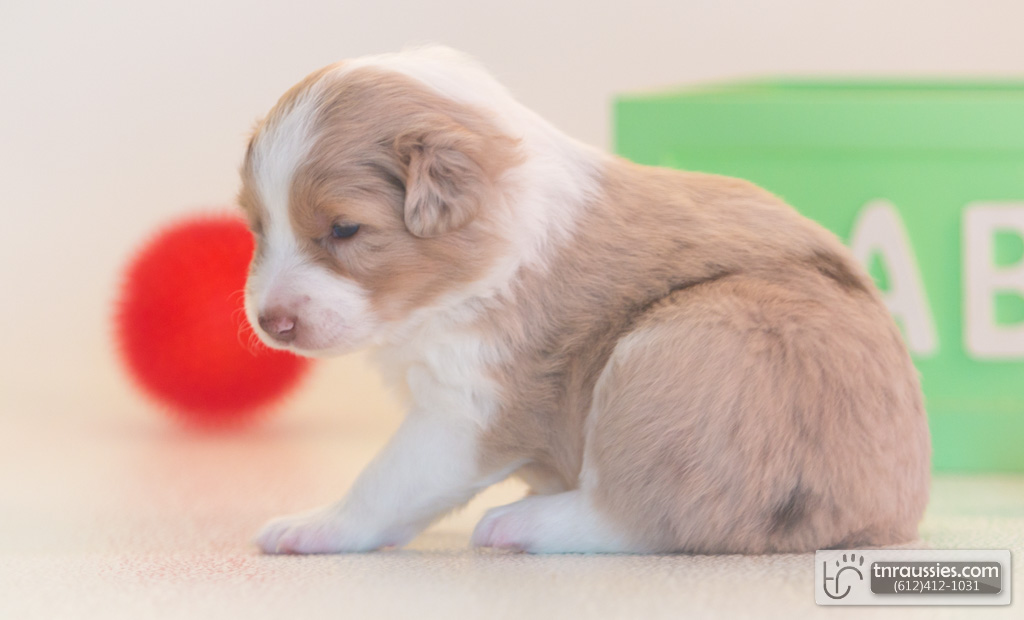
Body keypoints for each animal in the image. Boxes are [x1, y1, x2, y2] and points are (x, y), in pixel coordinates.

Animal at [239, 46, 930, 554]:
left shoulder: (471, 407)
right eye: (256, 226)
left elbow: (386, 479)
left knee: (644, 513)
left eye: (344, 229)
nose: (272, 323)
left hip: (689, 352)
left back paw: (525, 525)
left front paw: (317, 526)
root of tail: (893, 516)